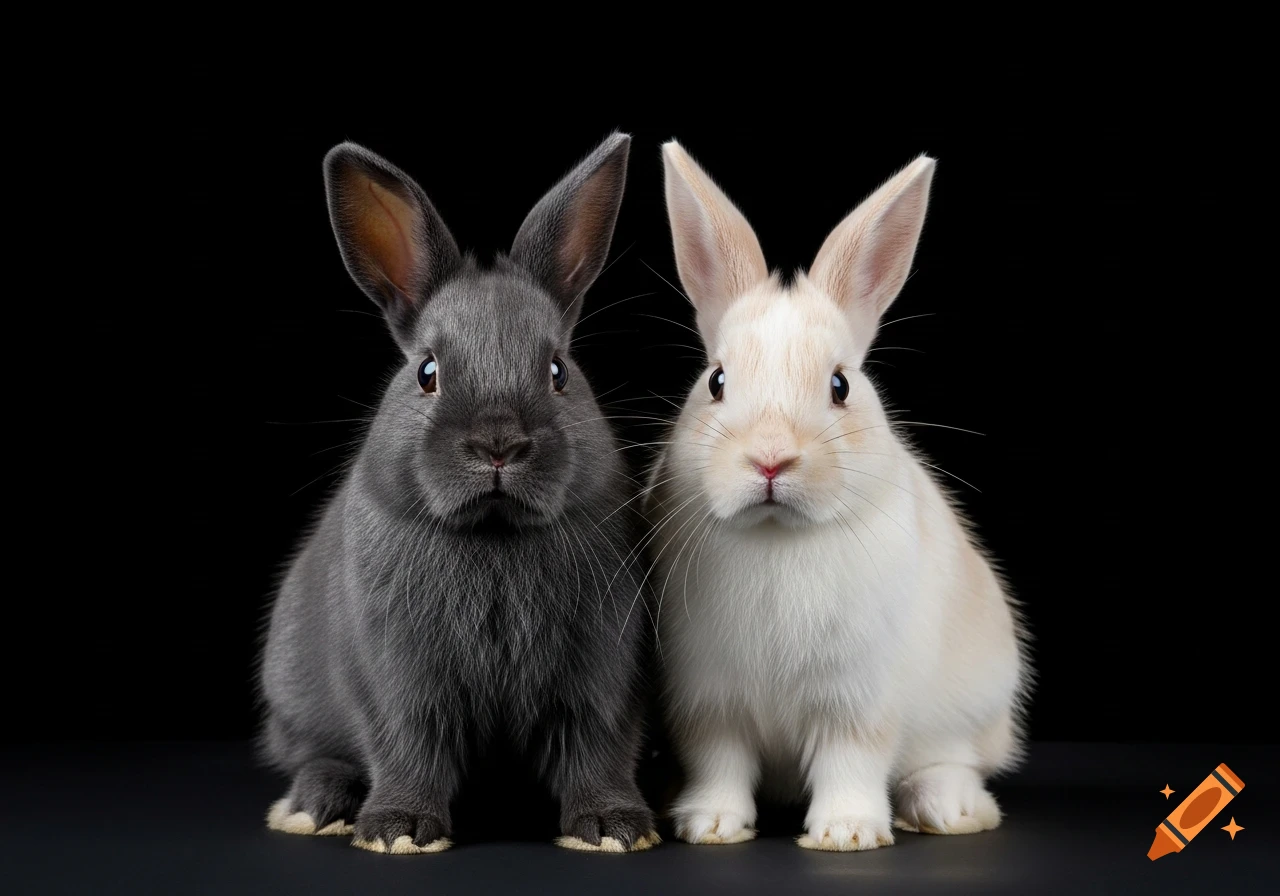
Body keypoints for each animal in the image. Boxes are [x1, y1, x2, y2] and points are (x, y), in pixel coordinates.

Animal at [259, 133, 660, 855]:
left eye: (558, 371)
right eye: (427, 372)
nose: (498, 444)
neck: (493, 532)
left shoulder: (605, 673)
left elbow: (599, 749)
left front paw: (612, 829)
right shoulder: (396, 679)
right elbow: (405, 747)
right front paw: (399, 831)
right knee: (317, 754)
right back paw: (313, 807)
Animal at [644, 142, 1031, 852]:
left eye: (840, 385)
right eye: (715, 381)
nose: (771, 458)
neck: (776, 536)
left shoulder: (856, 699)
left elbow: (852, 758)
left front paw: (846, 834)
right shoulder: (707, 702)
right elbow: (719, 761)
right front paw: (709, 824)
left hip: (975, 707)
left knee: (953, 760)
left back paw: (949, 810)